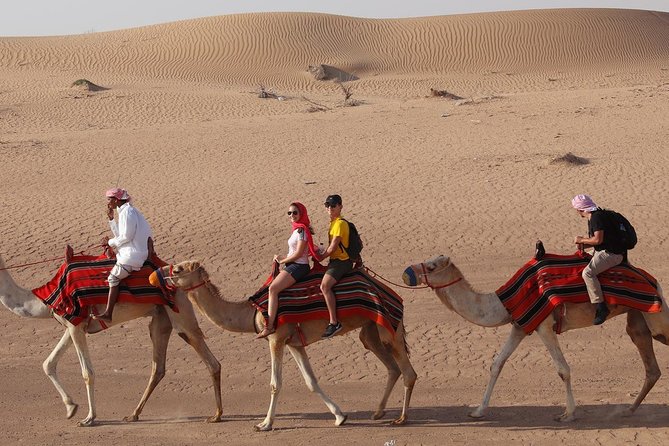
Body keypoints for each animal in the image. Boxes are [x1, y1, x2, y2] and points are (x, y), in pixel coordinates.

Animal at [0, 252, 223, 426]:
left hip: (180, 313)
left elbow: (87, 373)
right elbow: (48, 364)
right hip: (161, 319)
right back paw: (134, 414)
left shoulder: (76, 325)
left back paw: (217, 416)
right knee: (158, 368)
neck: (43, 301)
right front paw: (71, 408)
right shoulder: (74, 325)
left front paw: (89, 418)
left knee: (210, 360)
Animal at [149, 261, 417, 431]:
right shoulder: (294, 343)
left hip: (388, 327)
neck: (252, 312)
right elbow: (311, 381)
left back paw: (402, 419)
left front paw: (264, 424)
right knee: (392, 366)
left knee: (408, 372)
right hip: (370, 331)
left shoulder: (276, 338)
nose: (154, 275)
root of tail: (393, 293)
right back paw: (379, 412)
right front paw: (340, 416)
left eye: (178, 268)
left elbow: (275, 384)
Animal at [402, 251, 669, 421]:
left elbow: (563, 369)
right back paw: (628, 410)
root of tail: (653, 281)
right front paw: (478, 411)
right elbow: (496, 364)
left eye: (432, 266)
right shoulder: (519, 326)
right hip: (637, 318)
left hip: (655, 314)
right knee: (651, 367)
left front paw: (568, 414)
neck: (502, 302)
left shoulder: (544, 326)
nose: (406, 272)